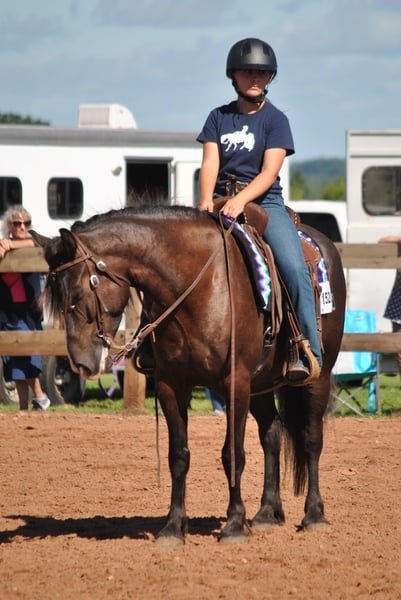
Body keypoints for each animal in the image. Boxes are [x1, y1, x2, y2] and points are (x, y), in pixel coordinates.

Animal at [35, 204, 346, 547]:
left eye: (78, 291)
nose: (79, 363)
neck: (199, 285)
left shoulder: (234, 382)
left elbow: (233, 454)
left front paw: (233, 525)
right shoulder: (172, 384)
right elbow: (178, 456)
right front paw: (173, 527)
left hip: (317, 377)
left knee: (311, 438)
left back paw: (314, 515)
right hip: (260, 385)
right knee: (272, 434)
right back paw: (266, 513)